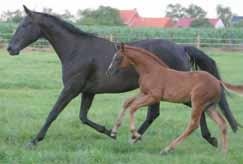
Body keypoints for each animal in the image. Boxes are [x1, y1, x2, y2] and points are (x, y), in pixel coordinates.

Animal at [7, 6, 237, 147]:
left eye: (25, 25)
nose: (10, 48)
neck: (76, 49)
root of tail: (181, 47)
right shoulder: (87, 91)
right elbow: (83, 117)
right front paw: (109, 131)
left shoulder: (71, 89)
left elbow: (53, 113)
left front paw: (34, 140)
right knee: (156, 114)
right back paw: (136, 137)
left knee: (196, 109)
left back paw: (209, 138)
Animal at [107, 43, 243, 155]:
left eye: (118, 58)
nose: (109, 71)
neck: (151, 70)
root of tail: (217, 81)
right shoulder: (144, 93)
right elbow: (127, 102)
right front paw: (114, 131)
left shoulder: (154, 97)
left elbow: (133, 107)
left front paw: (135, 135)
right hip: (209, 106)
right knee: (222, 123)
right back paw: (223, 152)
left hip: (197, 103)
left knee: (193, 124)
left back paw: (167, 149)